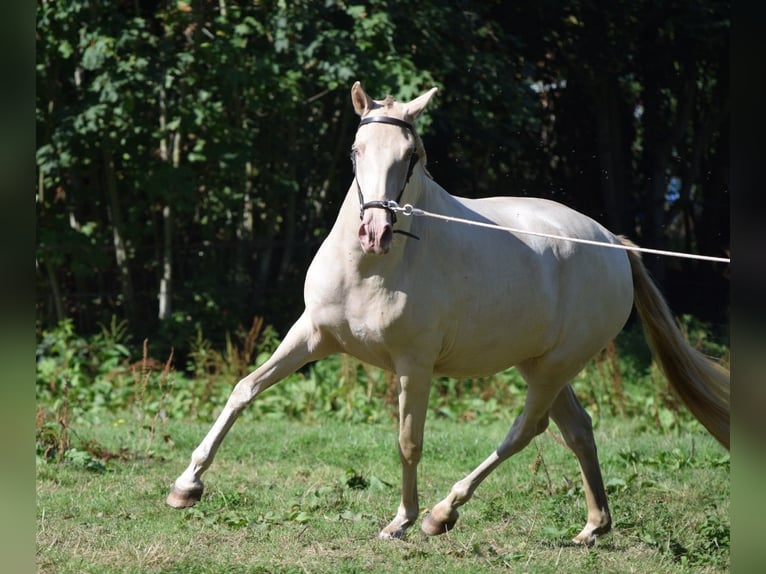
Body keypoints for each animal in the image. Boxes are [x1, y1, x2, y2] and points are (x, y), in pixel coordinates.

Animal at [166, 81, 730, 544]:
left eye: (411, 155)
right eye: (355, 151)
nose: (375, 231)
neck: (372, 268)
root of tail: (612, 242)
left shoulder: (413, 366)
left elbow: (409, 441)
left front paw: (401, 520)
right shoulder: (311, 335)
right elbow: (245, 389)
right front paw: (186, 486)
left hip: (554, 367)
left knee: (528, 430)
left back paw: (444, 513)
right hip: (539, 363)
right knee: (578, 429)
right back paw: (593, 528)